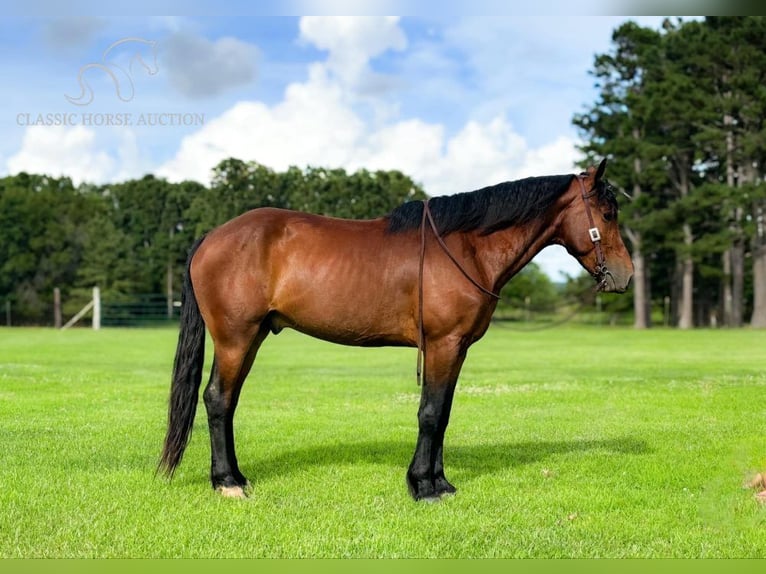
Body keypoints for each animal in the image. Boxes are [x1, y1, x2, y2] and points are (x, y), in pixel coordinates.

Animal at [159, 160, 632, 502]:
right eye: (607, 214)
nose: (625, 275)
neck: (465, 248)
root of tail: (212, 236)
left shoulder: (456, 349)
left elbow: (443, 414)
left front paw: (440, 483)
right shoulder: (442, 344)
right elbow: (430, 413)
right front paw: (423, 486)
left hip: (251, 337)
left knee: (225, 401)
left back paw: (236, 478)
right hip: (236, 338)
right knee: (218, 400)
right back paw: (227, 483)